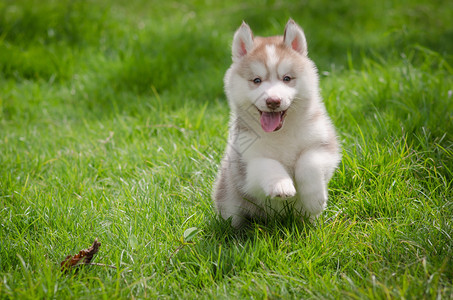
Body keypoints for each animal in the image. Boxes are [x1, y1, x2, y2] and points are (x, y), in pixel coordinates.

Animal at [213, 19, 340, 227]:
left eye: (287, 78)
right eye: (257, 80)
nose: (273, 101)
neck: (282, 132)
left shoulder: (324, 146)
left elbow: (308, 162)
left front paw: (314, 200)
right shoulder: (247, 163)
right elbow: (269, 164)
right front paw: (282, 185)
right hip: (229, 196)